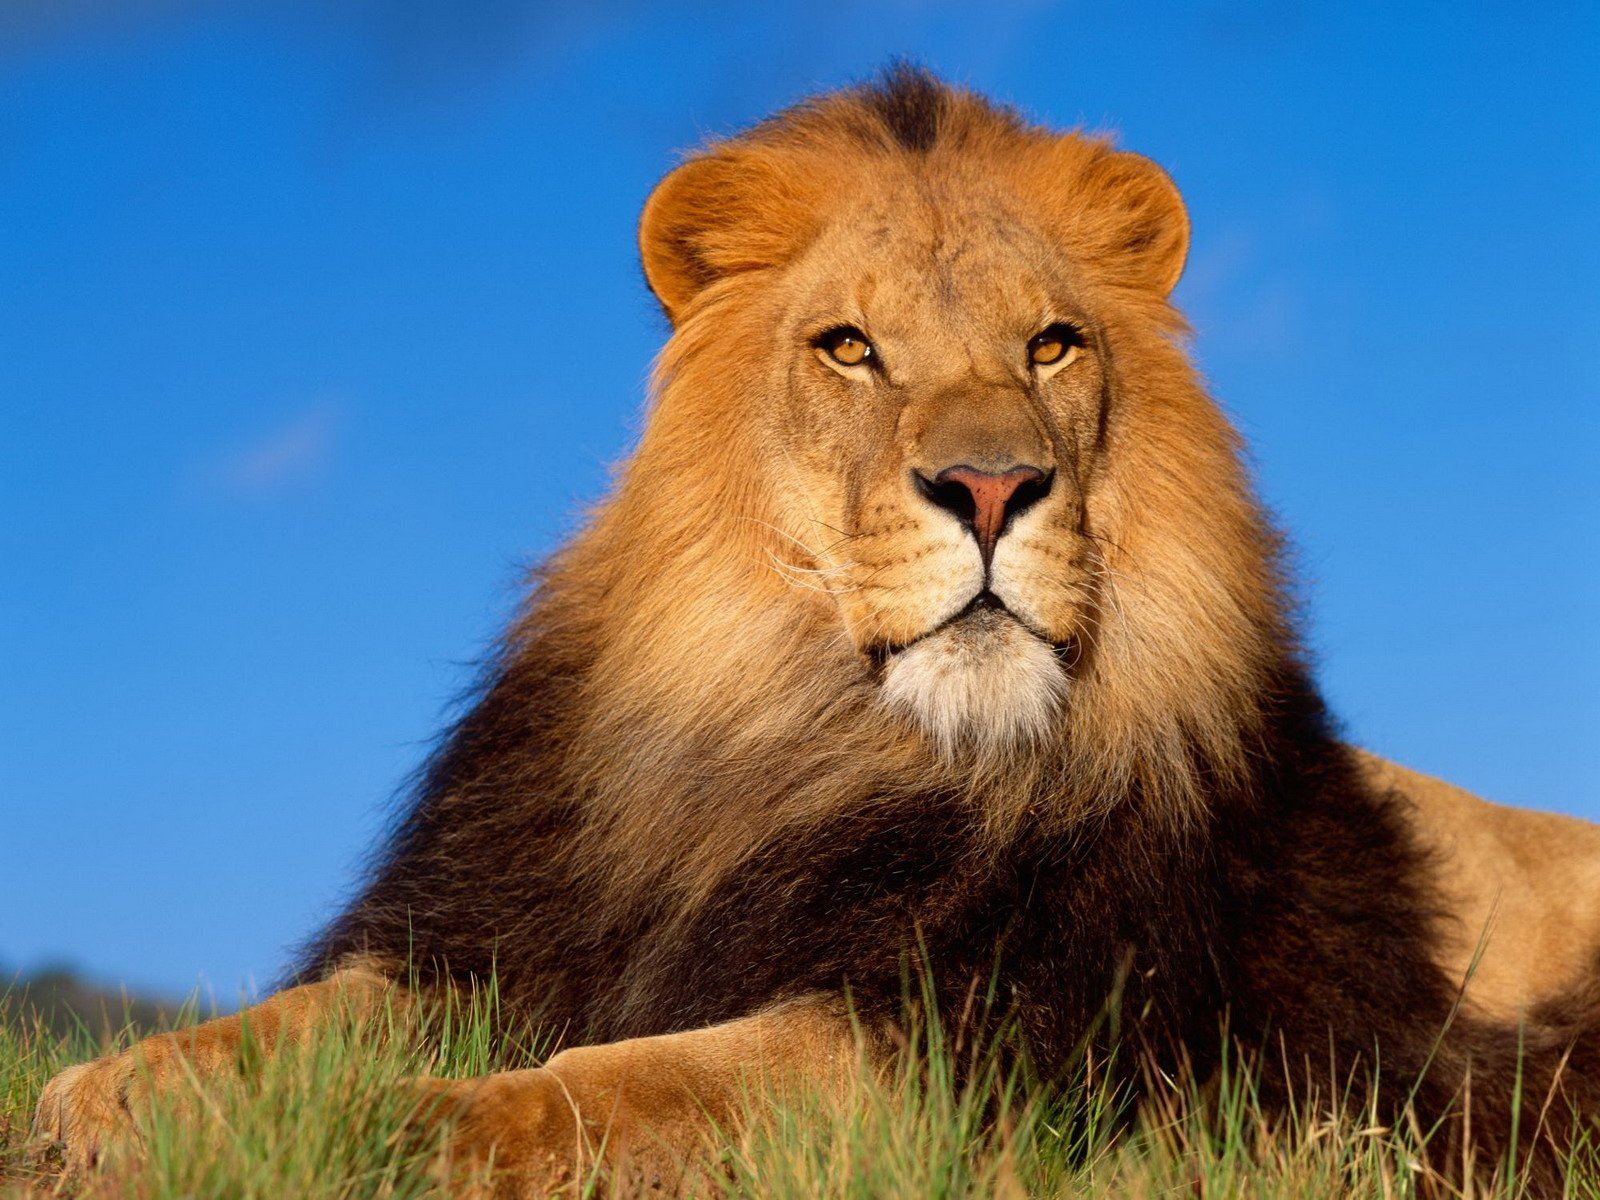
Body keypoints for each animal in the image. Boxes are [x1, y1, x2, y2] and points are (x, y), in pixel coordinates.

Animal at [32, 66, 1600, 1195]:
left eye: (1051, 346)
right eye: (850, 347)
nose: (991, 485)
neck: (801, 740)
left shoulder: (973, 1045)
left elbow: (628, 1085)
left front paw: (409, 1132)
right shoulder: (502, 933)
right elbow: (316, 1015)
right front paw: (125, 1091)